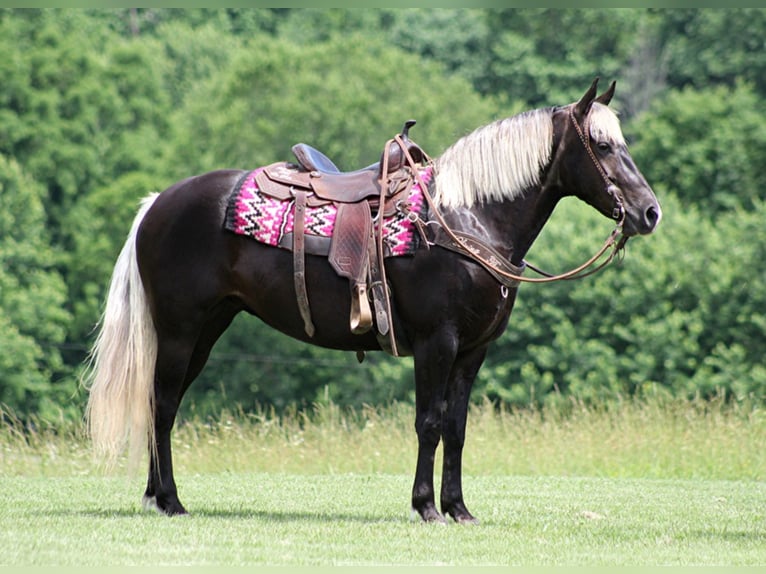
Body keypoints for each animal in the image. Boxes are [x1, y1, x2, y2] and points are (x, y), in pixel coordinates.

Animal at [82, 80, 660, 528]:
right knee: (162, 404)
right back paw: (171, 501)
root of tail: (158, 203)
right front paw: (426, 507)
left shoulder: (473, 351)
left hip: (206, 329)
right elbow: (429, 422)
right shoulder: (437, 343)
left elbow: (457, 427)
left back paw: (157, 497)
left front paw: (459, 509)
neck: (466, 219)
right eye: (602, 145)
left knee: (162, 403)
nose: (649, 212)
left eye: (622, 142)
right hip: (180, 329)